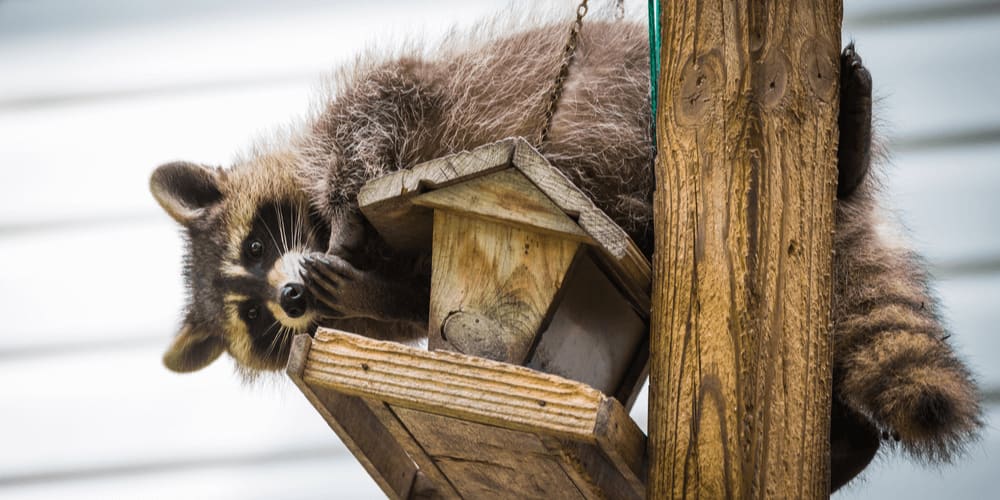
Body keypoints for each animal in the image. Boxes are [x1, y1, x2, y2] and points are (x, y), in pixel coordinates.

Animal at [148, 16, 976, 492]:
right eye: (254, 319)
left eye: (258, 243)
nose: (288, 298)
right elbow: (413, 299)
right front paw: (359, 295)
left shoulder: (375, 107)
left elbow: (377, 113)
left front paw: (347, 207)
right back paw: (847, 444)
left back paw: (850, 150)